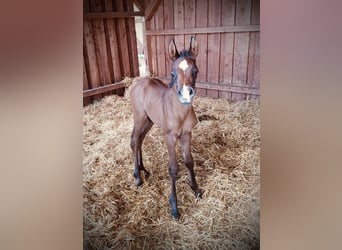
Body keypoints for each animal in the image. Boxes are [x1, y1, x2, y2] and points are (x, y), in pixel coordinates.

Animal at [130, 37, 202, 219]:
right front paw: (174, 207)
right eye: (172, 74)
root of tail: (139, 82)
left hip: (149, 121)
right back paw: (138, 177)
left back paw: (142, 169)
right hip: (139, 118)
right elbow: (173, 168)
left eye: (196, 71)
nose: (186, 95)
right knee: (134, 141)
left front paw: (196, 189)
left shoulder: (187, 135)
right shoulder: (169, 137)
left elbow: (189, 162)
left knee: (140, 140)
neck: (180, 113)